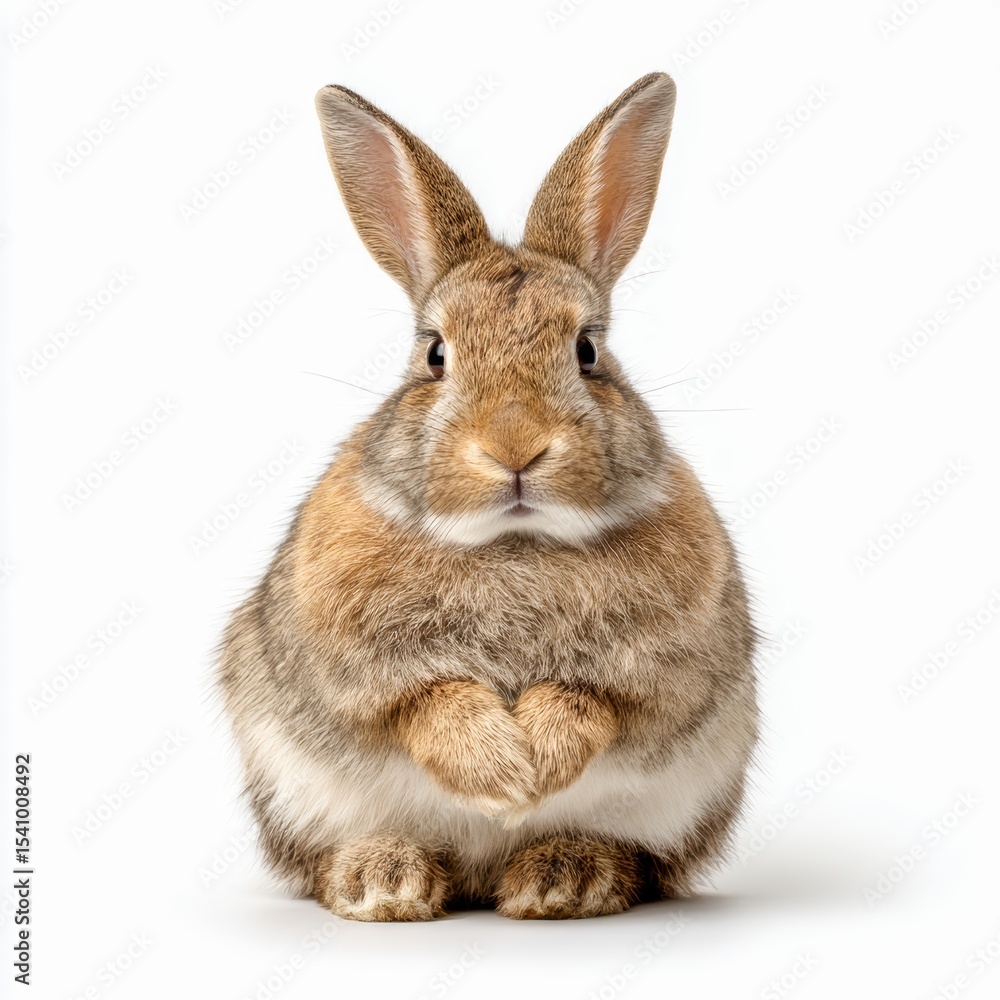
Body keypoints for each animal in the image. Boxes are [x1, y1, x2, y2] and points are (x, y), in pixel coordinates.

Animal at [218, 71, 759, 921]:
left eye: (588, 351)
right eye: (435, 355)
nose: (514, 446)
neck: (515, 540)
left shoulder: (663, 681)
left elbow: (590, 702)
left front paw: (530, 770)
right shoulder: (358, 680)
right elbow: (426, 703)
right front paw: (500, 774)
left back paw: (563, 876)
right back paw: (384, 880)